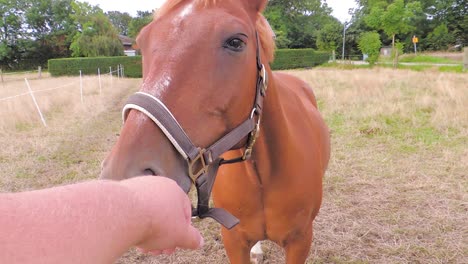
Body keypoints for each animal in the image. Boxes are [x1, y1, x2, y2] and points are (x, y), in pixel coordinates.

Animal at [100, 1, 330, 262]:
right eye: (143, 42)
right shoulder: (234, 241)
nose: (124, 179)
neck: (262, 174)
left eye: (236, 42)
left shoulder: (300, 242)